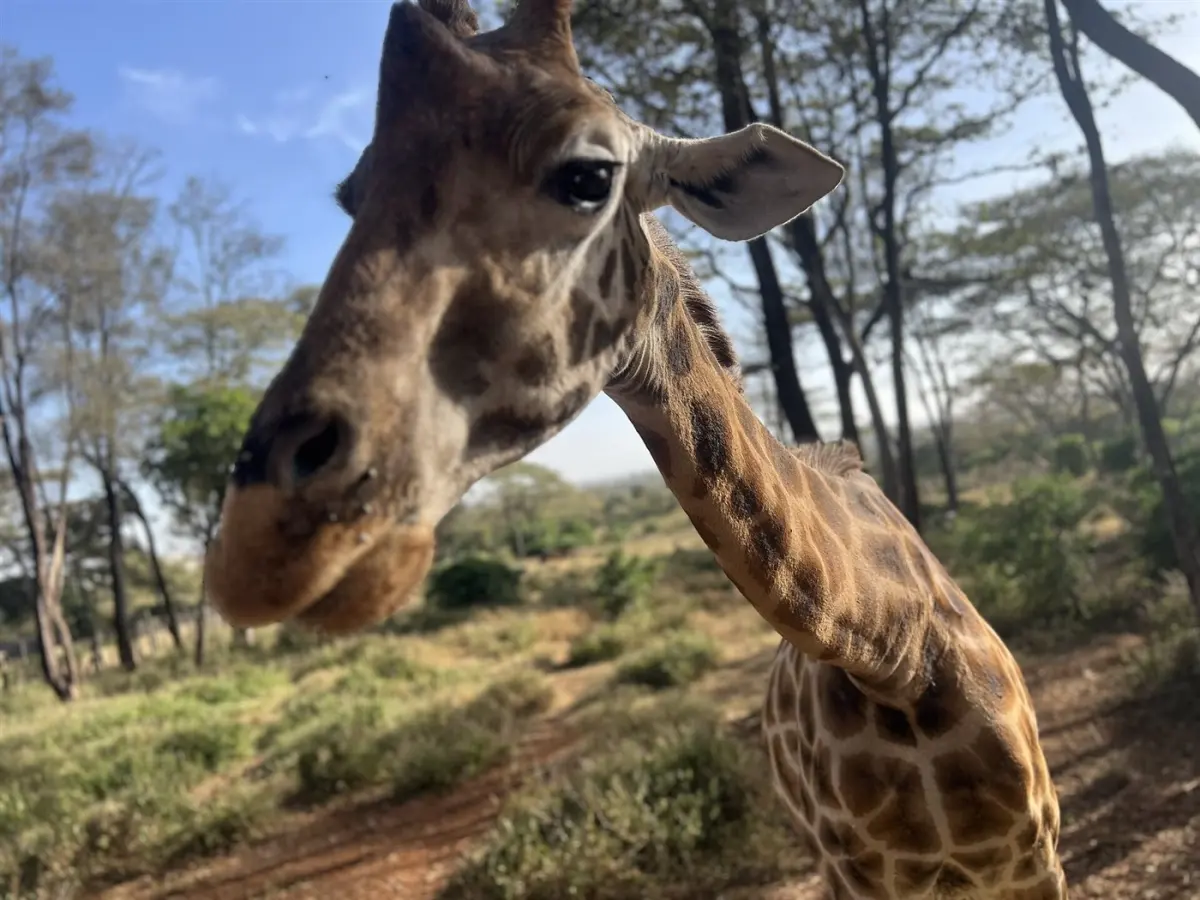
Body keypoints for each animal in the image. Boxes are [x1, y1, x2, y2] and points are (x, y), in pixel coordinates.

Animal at [202, 1, 1067, 897]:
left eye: (588, 175)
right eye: (354, 196)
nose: (258, 546)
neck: (894, 658)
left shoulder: (1037, 854)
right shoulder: (856, 875)